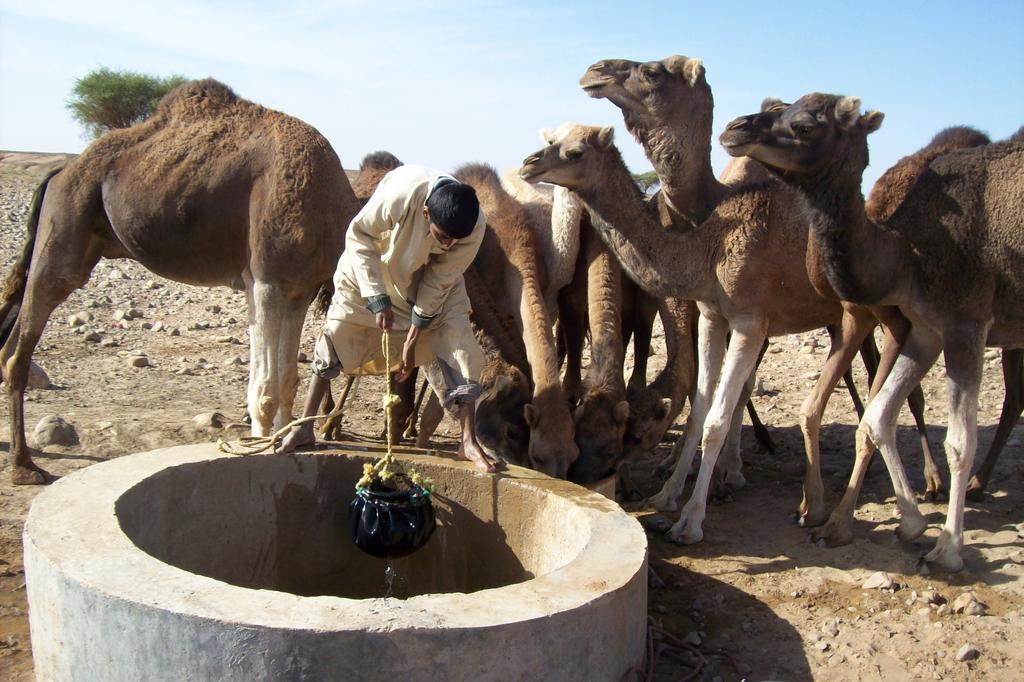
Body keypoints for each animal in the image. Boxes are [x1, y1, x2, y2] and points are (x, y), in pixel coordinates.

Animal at [0, 78, 360, 483]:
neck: (335, 212)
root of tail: (60, 171)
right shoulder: (269, 277)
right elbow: (265, 390)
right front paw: (261, 453)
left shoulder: (299, 287)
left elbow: (284, 383)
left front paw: (286, 443)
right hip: (65, 224)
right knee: (19, 348)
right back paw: (24, 467)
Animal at [724, 90, 1019, 569]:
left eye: (805, 124)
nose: (735, 127)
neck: (900, 252)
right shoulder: (900, 324)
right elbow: (856, 412)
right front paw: (825, 512)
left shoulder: (950, 323)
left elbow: (942, 433)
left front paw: (942, 544)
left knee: (1010, 402)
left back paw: (972, 485)